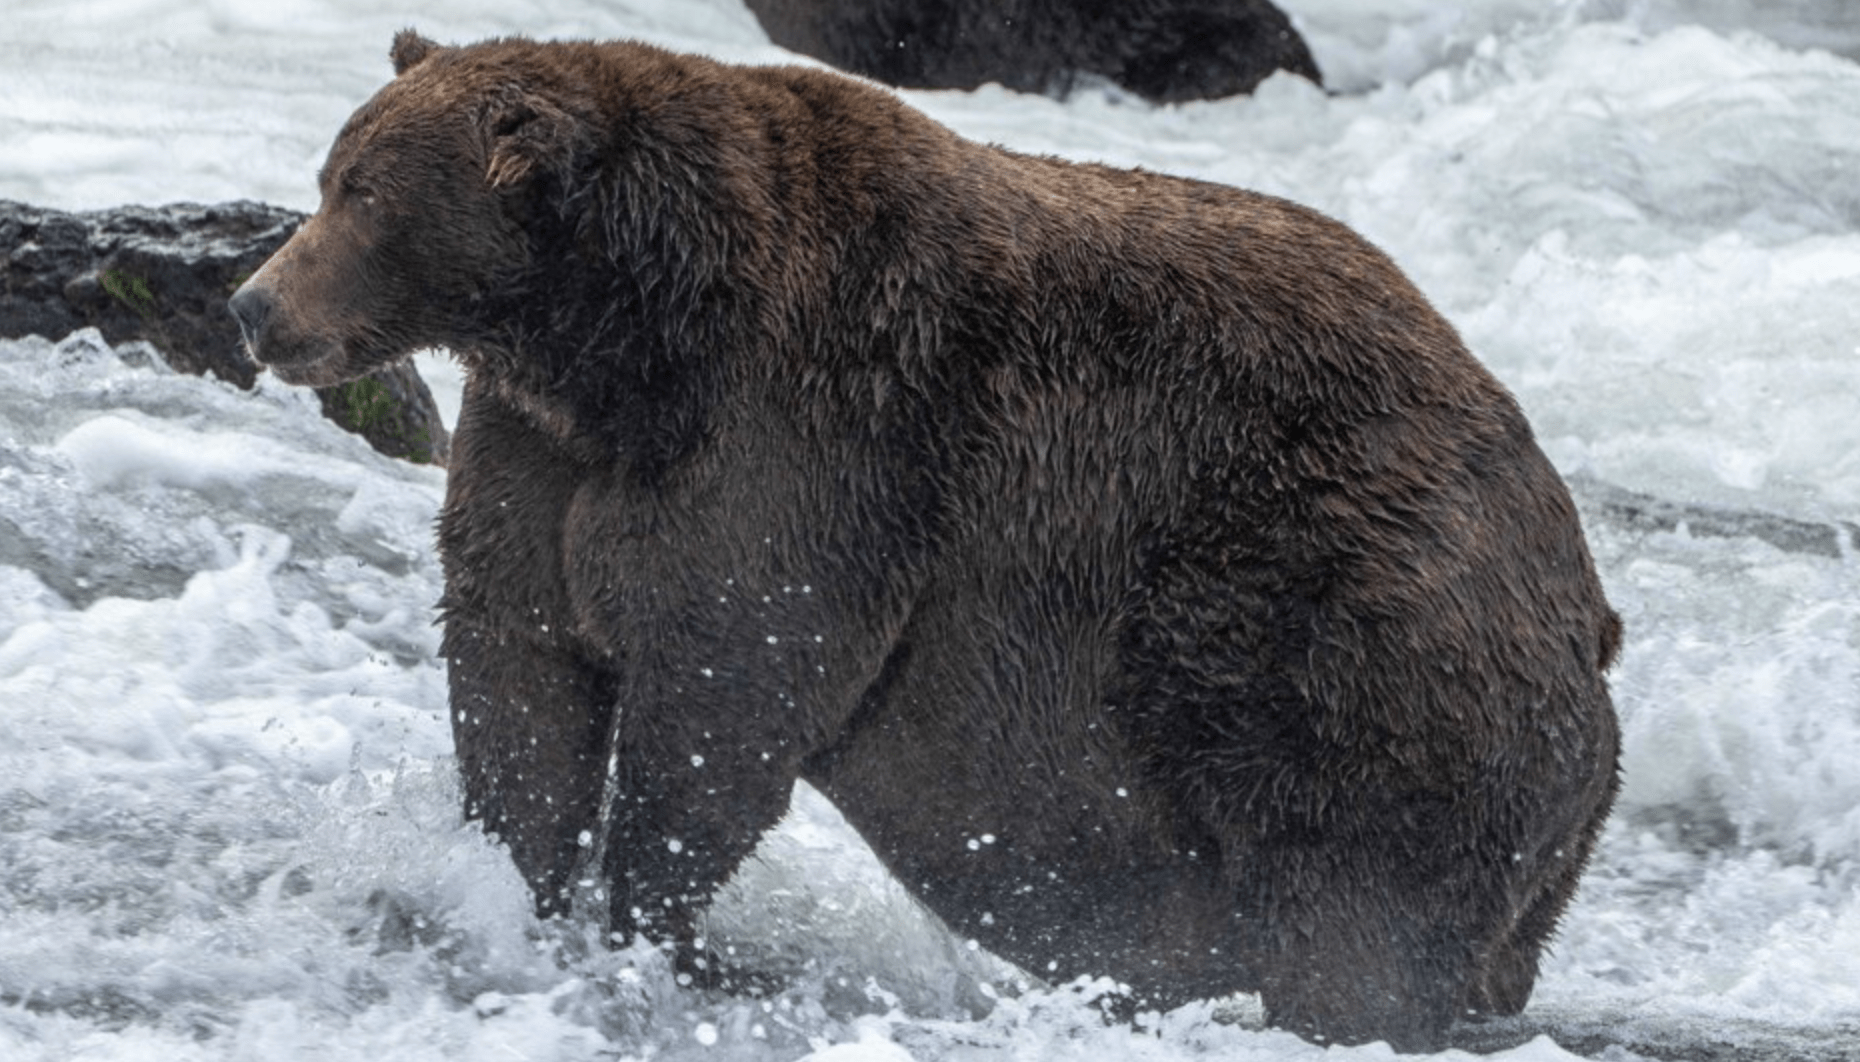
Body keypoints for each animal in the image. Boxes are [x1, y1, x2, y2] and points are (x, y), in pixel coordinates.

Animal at [228, 31, 1621, 1052]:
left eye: (360, 193)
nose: (253, 305)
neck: (626, 342)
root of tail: (1588, 605)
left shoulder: (815, 439)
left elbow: (727, 686)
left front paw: (640, 917)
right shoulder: (543, 455)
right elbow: (519, 668)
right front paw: (512, 891)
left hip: (1349, 635)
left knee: (1356, 916)